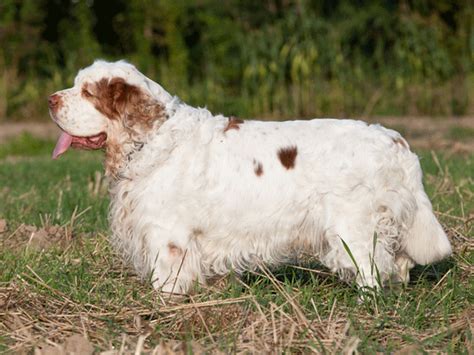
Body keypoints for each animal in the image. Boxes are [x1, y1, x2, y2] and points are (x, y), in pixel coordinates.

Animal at [48, 60, 452, 294]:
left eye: (88, 92)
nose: (50, 100)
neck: (153, 138)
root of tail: (396, 141)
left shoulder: (168, 236)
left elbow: (166, 280)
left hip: (354, 228)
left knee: (373, 269)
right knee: (399, 264)